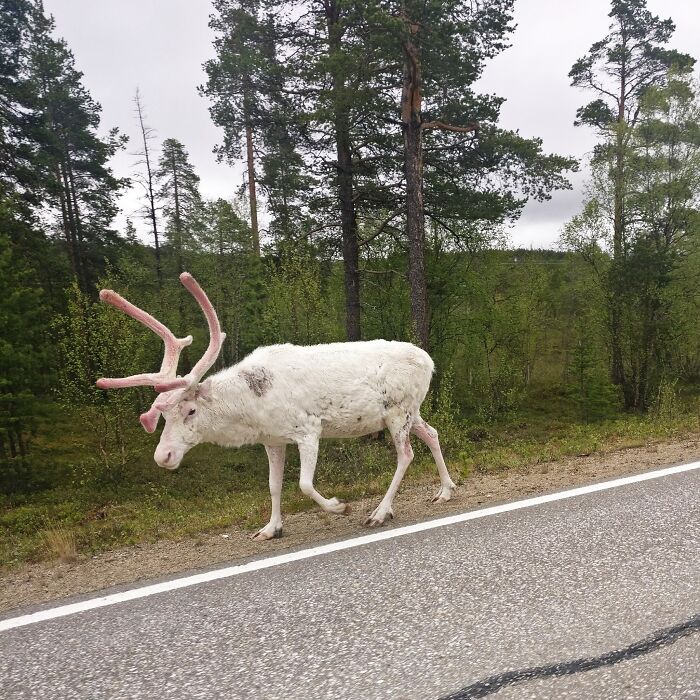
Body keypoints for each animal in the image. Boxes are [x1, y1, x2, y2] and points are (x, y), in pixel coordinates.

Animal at [96, 272, 457, 540]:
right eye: (162, 415)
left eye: (191, 410)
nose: (163, 455)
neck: (250, 412)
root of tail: (430, 361)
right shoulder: (271, 440)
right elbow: (273, 485)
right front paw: (270, 528)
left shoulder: (308, 429)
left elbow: (304, 484)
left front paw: (340, 506)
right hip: (409, 411)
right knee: (432, 433)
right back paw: (446, 490)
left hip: (398, 410)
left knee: (406, 454)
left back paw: (380, 512)